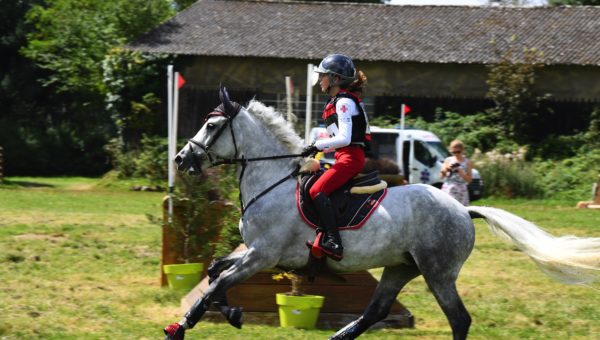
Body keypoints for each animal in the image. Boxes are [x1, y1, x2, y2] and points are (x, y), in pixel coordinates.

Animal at [169, 88, 600, 340]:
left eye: (211, 125)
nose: (181, 159)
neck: (271, 179)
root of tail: (464, 209)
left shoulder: (264, 255)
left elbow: (218, 283)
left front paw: (181, 326)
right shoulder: (255, 252)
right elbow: (214, 273)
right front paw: (233, 313)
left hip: (437, 272)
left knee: (459, 319)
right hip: (400, 267)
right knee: (376, 310)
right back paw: (336, 338)